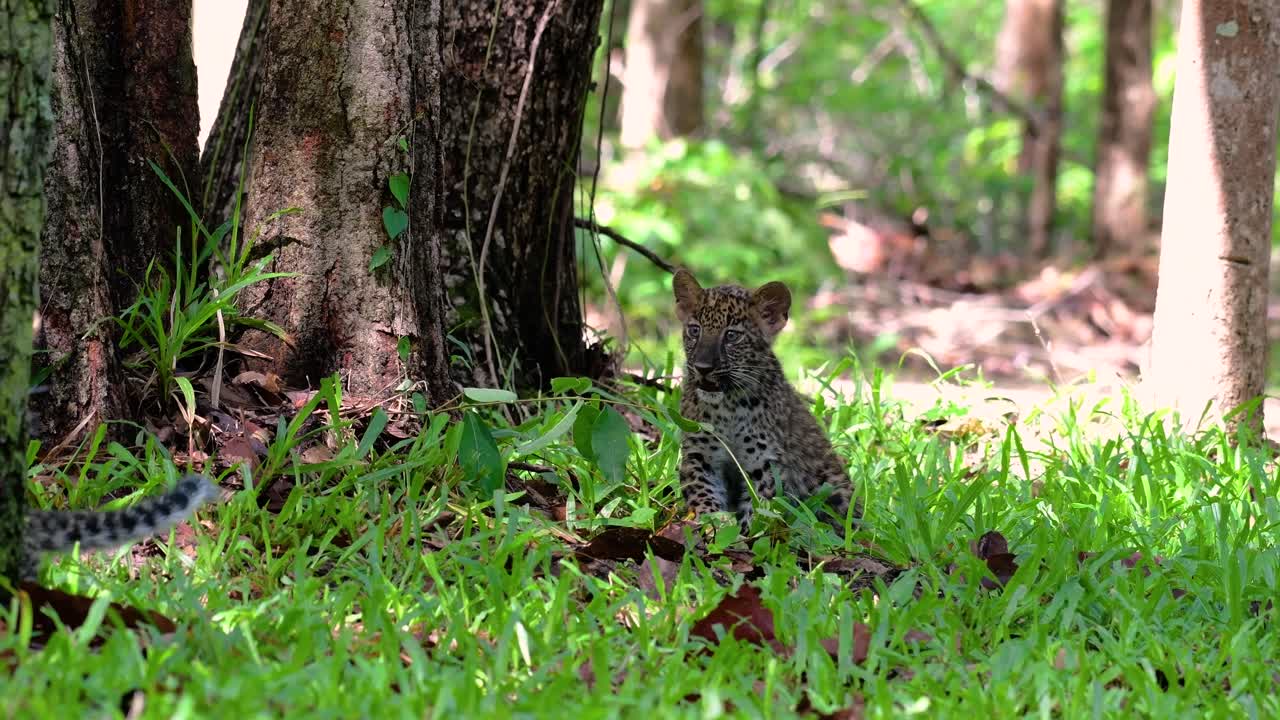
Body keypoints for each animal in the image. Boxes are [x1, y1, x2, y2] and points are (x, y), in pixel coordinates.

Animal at [672, 267, 859, 535]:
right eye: (695, 330)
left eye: (731, 335)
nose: (703, 367)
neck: (727, 406)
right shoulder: (700, 454)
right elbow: (703, 495)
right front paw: (712, 526)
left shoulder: (764, 462)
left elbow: (760, 507)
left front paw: (746, 535)